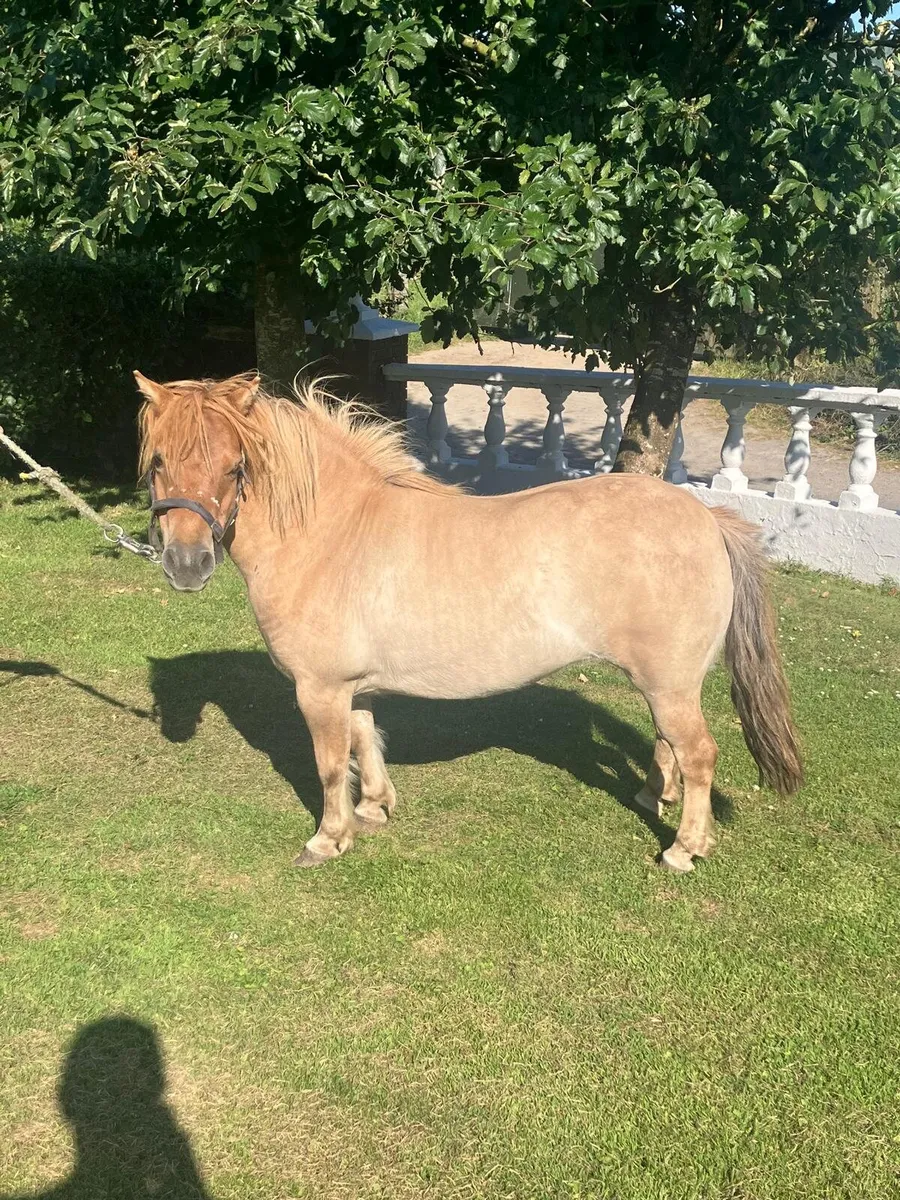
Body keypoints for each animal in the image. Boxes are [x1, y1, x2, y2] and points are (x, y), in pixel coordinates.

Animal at [135, 370, 803, 874]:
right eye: (159, 461)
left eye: (234, 466)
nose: (187, 564)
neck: (333, 535)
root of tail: (707, 518)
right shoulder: (351, 687)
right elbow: (364, 740)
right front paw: (374, 808)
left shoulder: (319, 690)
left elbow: (328, 764)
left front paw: (328, 838)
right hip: (665, 683)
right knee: (669, 745)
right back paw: (650, 795)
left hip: (670, 684)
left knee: (698, 754)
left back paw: (684, 849)